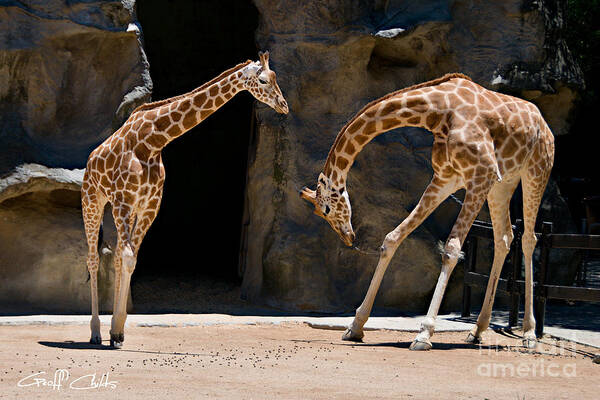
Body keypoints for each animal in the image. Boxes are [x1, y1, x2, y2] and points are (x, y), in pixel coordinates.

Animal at [82, 52, 288, 346]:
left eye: (275, 78)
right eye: (262, 80)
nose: (284, 106)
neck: (152, 141)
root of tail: (90, 159)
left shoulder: (148, 205)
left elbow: (130, 258)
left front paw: (118, 331)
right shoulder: (122, 200)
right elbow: (127, 257)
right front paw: (116, 331)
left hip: (127, 209)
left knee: (119, 256)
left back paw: (107, 331)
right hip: (93, 199)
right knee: (93, 258)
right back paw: (95, 332)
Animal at [302, 72, 556, 350]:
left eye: (326, 209)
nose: (348, 237)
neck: (437, 111)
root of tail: (545, 124)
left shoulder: (481, 174)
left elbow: (452, 250)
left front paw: (424, 334)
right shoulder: (447, 178)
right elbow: (392, 238)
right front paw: (355, 326)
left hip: (535, 171)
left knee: (529, 238)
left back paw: (529, 333)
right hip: (503, 183)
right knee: (504, 237)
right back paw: (477, 330)